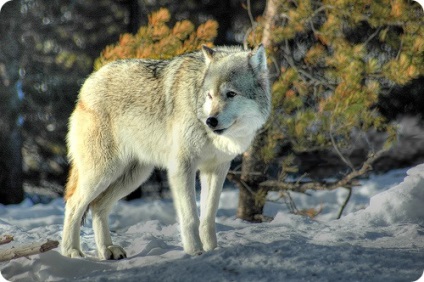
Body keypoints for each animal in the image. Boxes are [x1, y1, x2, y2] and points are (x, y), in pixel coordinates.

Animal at [61, 44, 270, 260]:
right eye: (209, 96)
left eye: (231, 94)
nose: (210, 121)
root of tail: (89, 81)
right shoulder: (182, 167)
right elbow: (191, 218)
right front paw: (195, 251)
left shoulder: (216, 169)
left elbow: (208, 218)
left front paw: (212, 251)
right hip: (103, 173)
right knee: (73, 203)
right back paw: (71, 251)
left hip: (134, 176)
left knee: (98, 206)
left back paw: (107, 250)